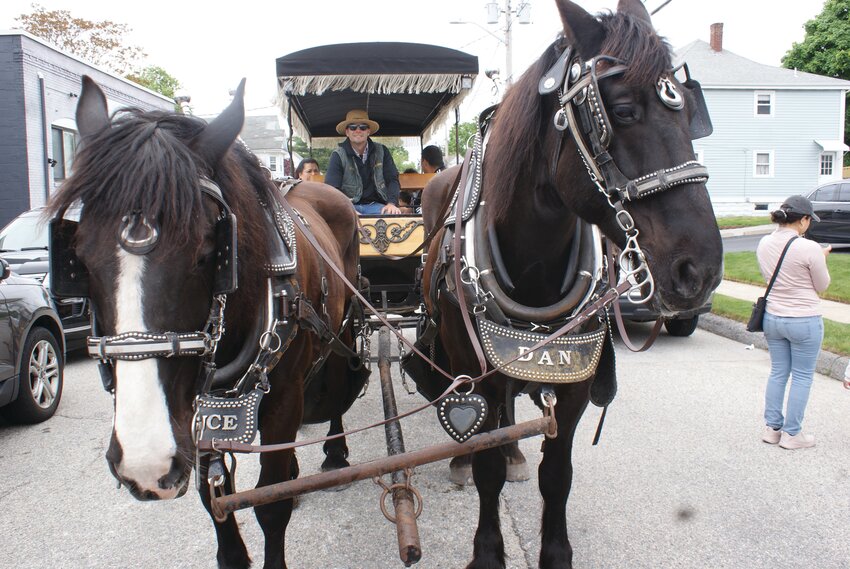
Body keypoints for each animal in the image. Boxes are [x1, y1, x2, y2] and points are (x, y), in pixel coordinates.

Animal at [47, 77, 364, 564]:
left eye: (207, 252)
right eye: (77, 258)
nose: (145, 461)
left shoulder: (282, 398)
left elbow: (270, 504)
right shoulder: (194, 411)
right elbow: (214, 497)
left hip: (341, 329)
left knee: (338, 383)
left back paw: (335, 449)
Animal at [414, 1, 720, 568]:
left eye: (690, 111)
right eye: (622, 110)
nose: (702, 270)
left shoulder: (575, 380)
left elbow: (557, 475)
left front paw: (555, 551)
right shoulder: (479, 373)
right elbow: (487, 469)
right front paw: (488, 551)